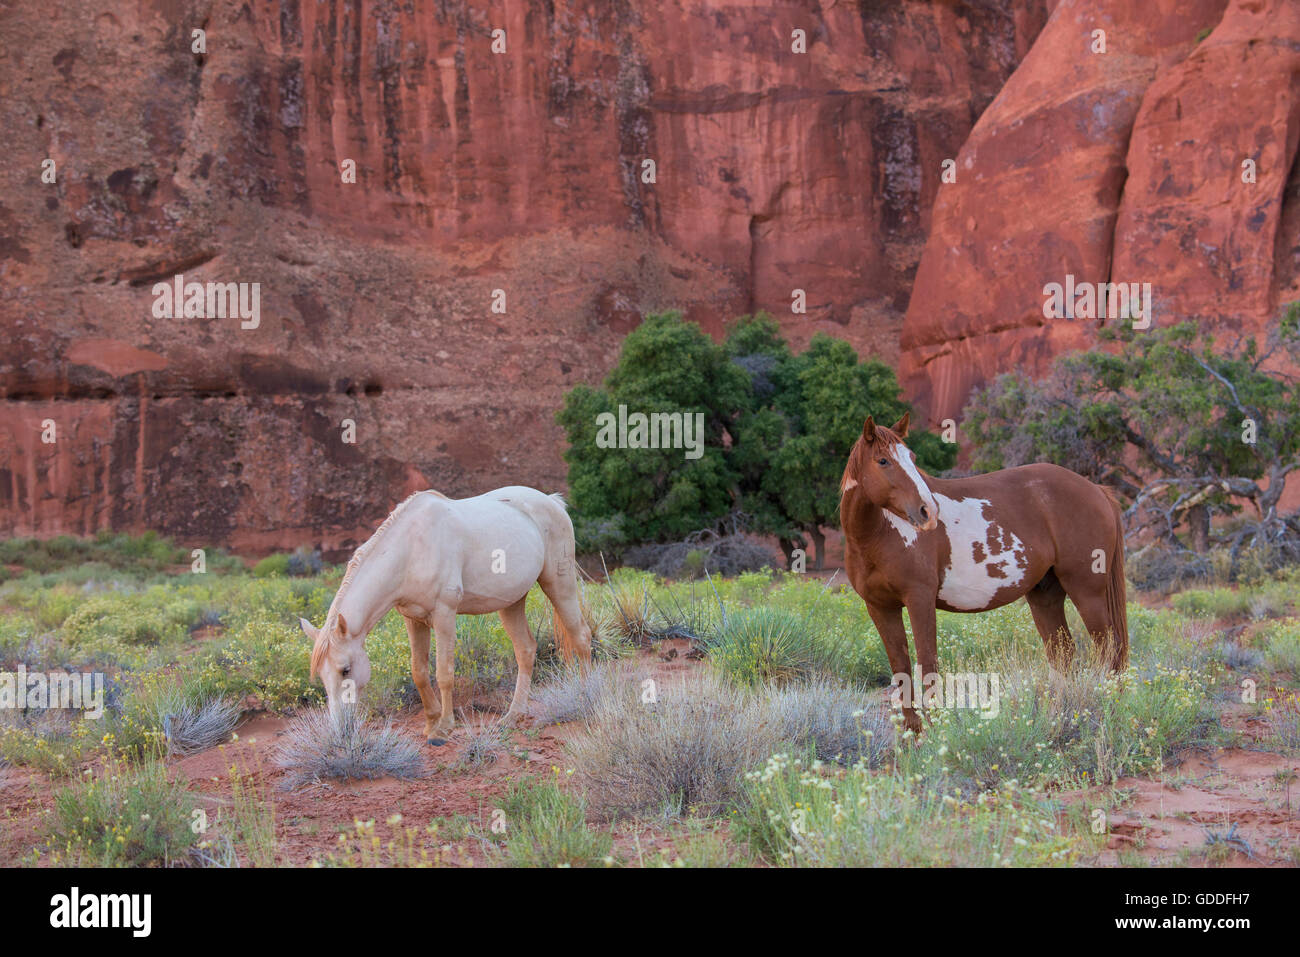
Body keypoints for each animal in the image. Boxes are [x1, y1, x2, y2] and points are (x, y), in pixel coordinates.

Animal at [298, 486, 593, 746]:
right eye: (322, 676)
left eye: (345, 670)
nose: (341, 729)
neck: (412, 549)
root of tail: (553, 502)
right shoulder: (413, 619)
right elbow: (419, 671)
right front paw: (431, 722)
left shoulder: (444, 615)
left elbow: (444, 673)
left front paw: (444, 728)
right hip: (512, 602)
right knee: (526, 649)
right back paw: (512, 716)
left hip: (559, 584)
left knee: (581, 637)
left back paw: (585, 698)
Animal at [840, 412, 1128, 735]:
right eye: (883, 461)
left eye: (912, 458)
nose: (928, 511)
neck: (879, 533)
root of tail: (1097, 490)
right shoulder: (880, 607)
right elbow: (900, 667)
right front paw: (914, 734)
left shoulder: (919, 599)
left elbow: (927, 664)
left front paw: (936, 730)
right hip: (1045, 596)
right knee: (1063, 655)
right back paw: (1057, 719)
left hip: (1087, 592)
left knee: (1109, 652)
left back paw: (1109, 713)